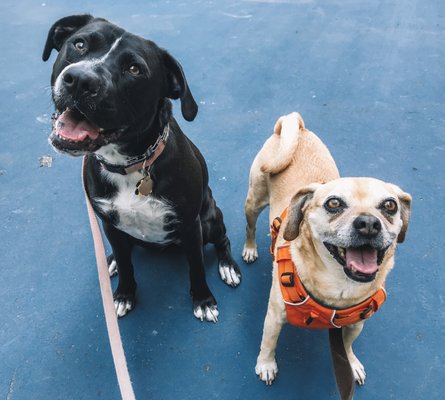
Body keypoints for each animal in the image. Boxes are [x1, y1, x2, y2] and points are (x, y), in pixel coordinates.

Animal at [43, 14, 241, 322]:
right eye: (79, 44)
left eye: (134, 69)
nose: (80, 81)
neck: (129, 164)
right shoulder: (110, 224)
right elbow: (127, 266)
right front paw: (124, 294)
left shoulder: (190, 226)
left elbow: (196, 267)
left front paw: (204, 300)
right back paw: (111, 261)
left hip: (211, 220)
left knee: (223, 240)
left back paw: (228, 266)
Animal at [241, 112, 412, 388]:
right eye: (333, 203)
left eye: (390, 206)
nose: (368, 224)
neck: (338, 286)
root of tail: (294, 123)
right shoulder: (275, 316)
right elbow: (268, 343)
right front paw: (266, 365)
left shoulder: (355, 325)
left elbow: (347, 346)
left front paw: (351, 363)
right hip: (254, 201)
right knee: (250, 226)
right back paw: (250, 249)